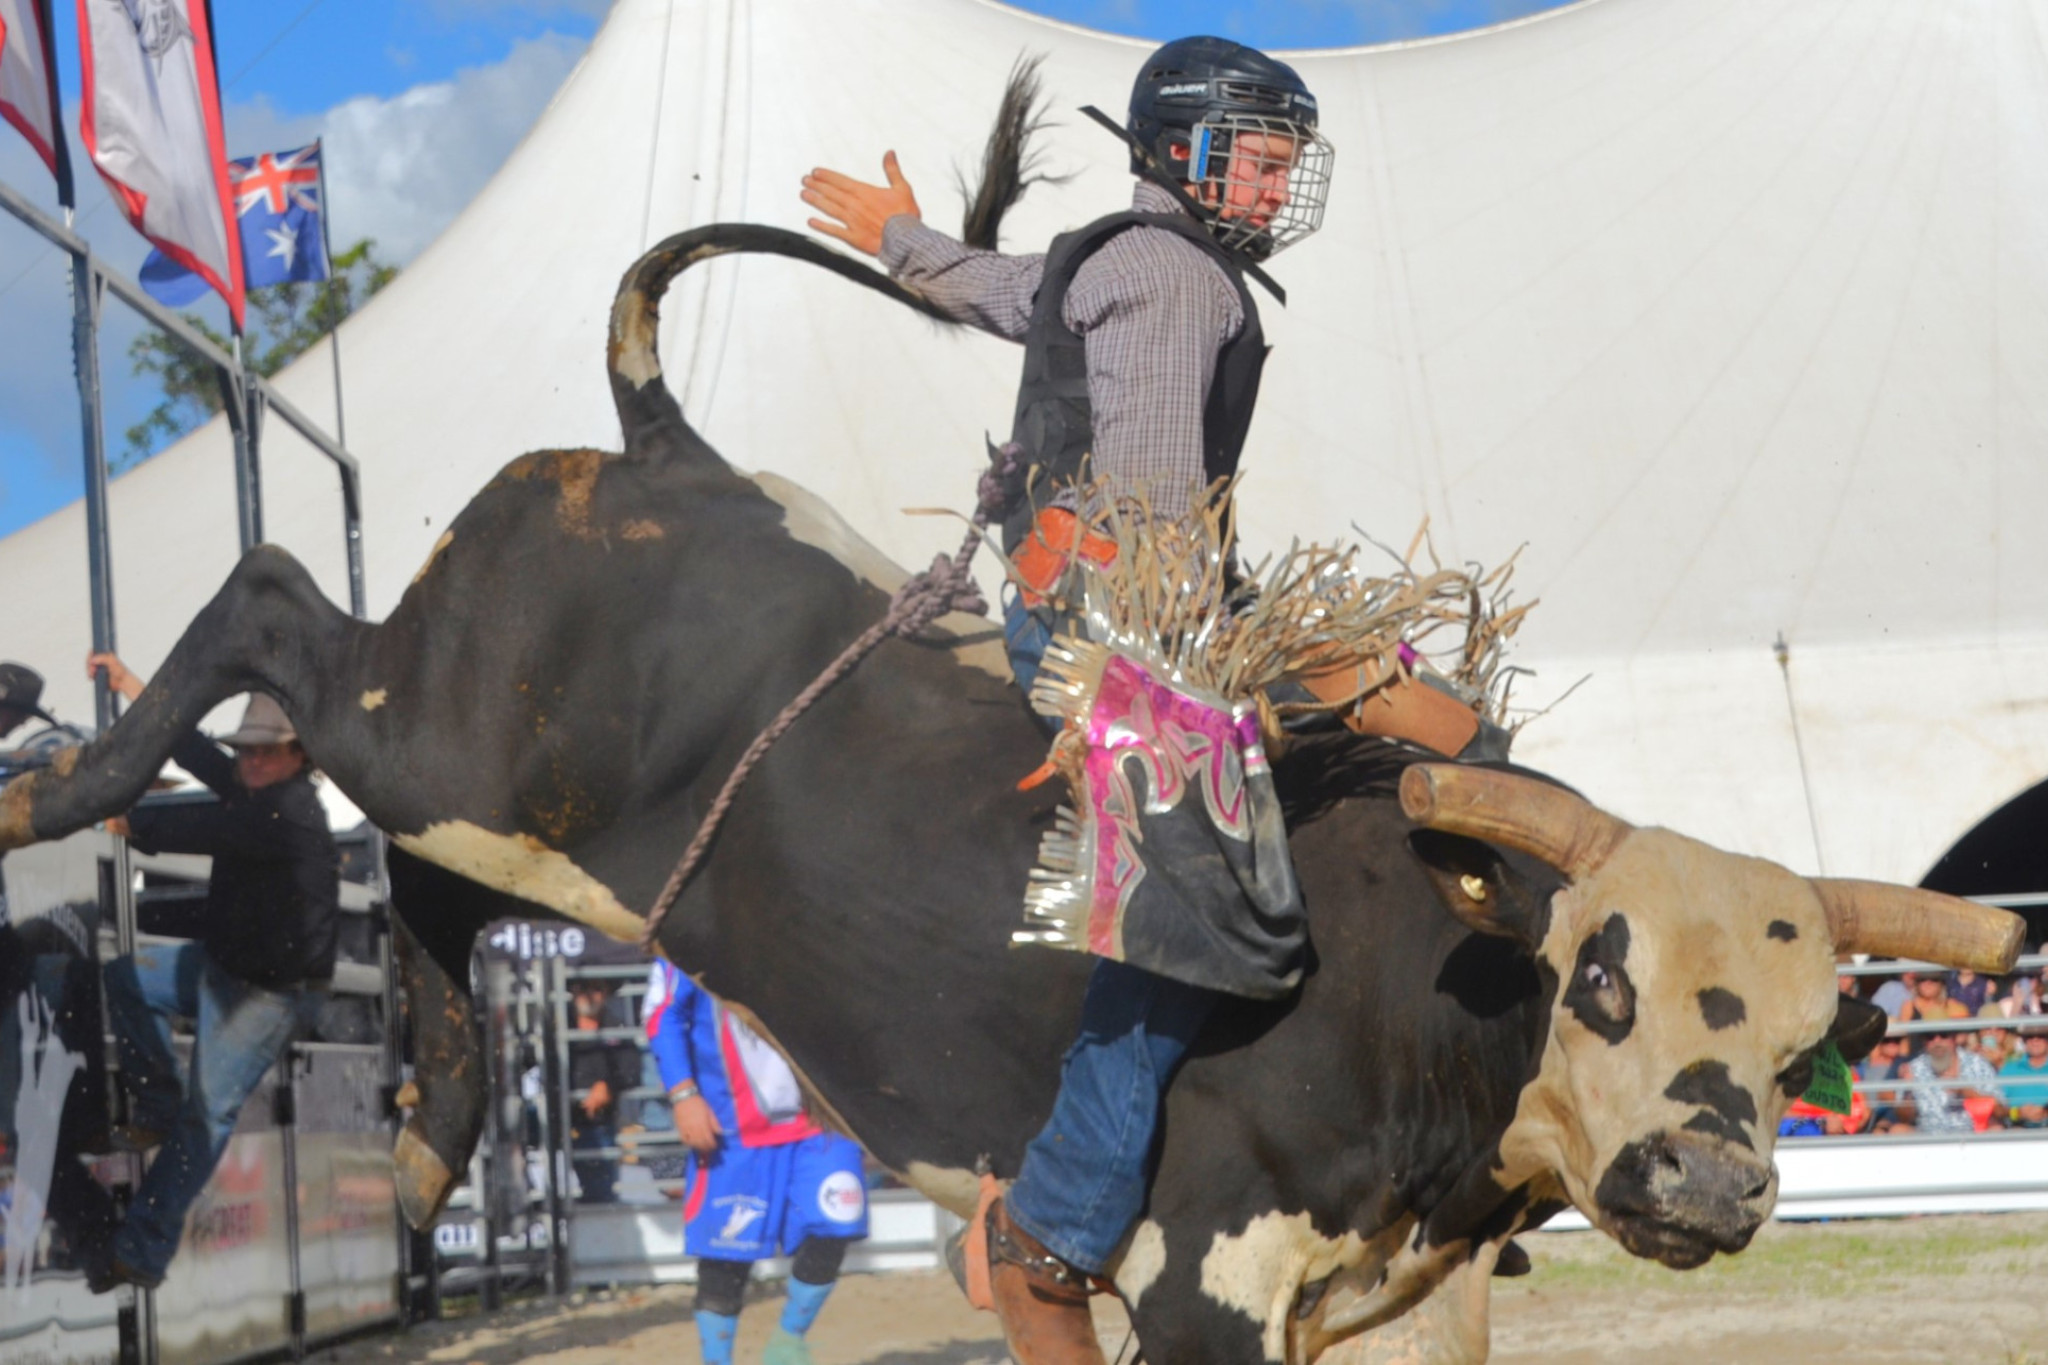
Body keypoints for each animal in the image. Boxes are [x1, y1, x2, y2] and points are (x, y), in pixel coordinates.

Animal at [0, 222, 2015, 1358]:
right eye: (1597, 970)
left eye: (1808, 1028)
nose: (1708, 1178)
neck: (1419, 978)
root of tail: (668, 450)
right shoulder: (1203, 1280)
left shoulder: (1398, 1301)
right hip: (418, 722)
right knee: (271, 608)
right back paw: (57, 779)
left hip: (496, 808)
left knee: (422, 887)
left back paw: (424, 1147)